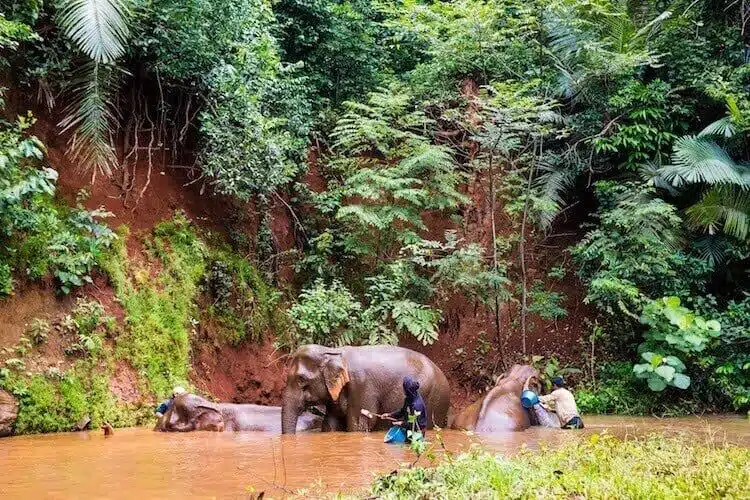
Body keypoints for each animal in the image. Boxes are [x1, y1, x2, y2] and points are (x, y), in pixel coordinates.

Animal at [280, 344, 450, 434]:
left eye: (301, 379)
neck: (333, 352)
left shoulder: (362, 386)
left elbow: (358, 425)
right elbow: (330, 423)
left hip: (432, 400)